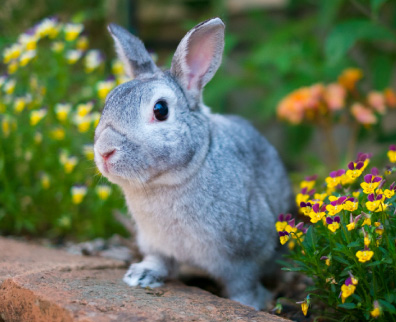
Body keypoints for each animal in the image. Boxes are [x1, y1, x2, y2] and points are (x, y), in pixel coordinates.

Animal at [94, 17, 292, 310]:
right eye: (109, 101)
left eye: (160, 110)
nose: (105, 151)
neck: (170, 181)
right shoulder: (155, 242)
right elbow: (159, 260)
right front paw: (140, 276)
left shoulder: (245, 254)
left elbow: (242, 283)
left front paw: (248, 304)